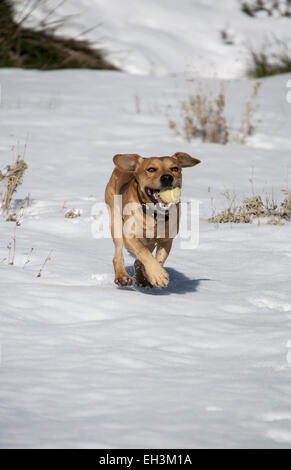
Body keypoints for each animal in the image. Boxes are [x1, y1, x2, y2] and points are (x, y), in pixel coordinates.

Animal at [106, 152, 202, 288]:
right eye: (151, 169)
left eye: (175, 168)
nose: (167, 177)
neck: (155, 214)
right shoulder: (129, 236)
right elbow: (143, 252)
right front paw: (158, 275)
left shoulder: (166, 240)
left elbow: (159, 258)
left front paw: (153, 274)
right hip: (116, 222)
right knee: (118, 255)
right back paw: (122, 277)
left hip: (149, 241)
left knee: (138, 261)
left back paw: (142, 279)